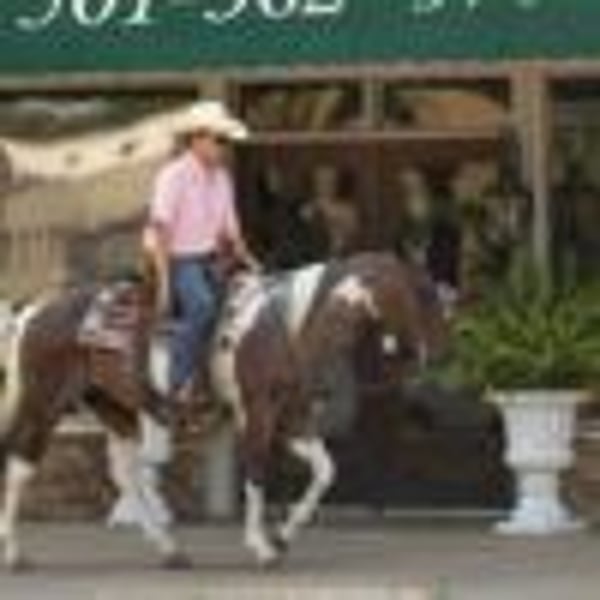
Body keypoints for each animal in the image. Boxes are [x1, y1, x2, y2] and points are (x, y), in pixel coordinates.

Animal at [0, 251, 447, 570]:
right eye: (421, 294)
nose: (431, 353)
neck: (286, 327)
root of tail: (32, 311)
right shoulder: (258, 413)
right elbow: (255, 473)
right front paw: (262, 547)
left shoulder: (293, 417)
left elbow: (325, 470)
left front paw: (284, 535)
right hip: (44, 403)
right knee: (21, 466)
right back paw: (15, 554)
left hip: (115, 409)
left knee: (127, 476)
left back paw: (171, 551)